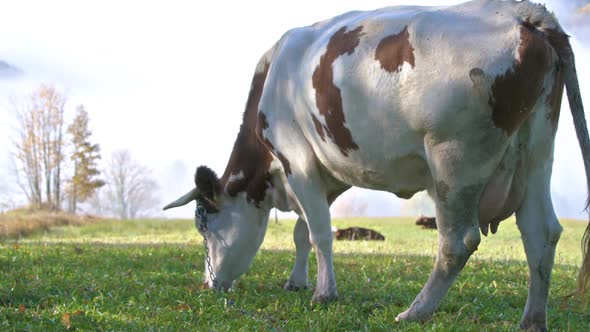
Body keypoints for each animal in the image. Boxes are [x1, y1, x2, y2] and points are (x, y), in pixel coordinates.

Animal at [165, 0, 590, 330]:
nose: (209, 284)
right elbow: (303, 232)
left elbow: (320, 233)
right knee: (541, 232)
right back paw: (532, 320)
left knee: (458, 241)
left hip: (455, 159)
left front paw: (324, 293)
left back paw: (416, 312)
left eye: (204, 223)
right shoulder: (325, 172)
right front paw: (296, 282)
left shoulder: (297, 159)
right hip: (537, 151)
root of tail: (526, 13)